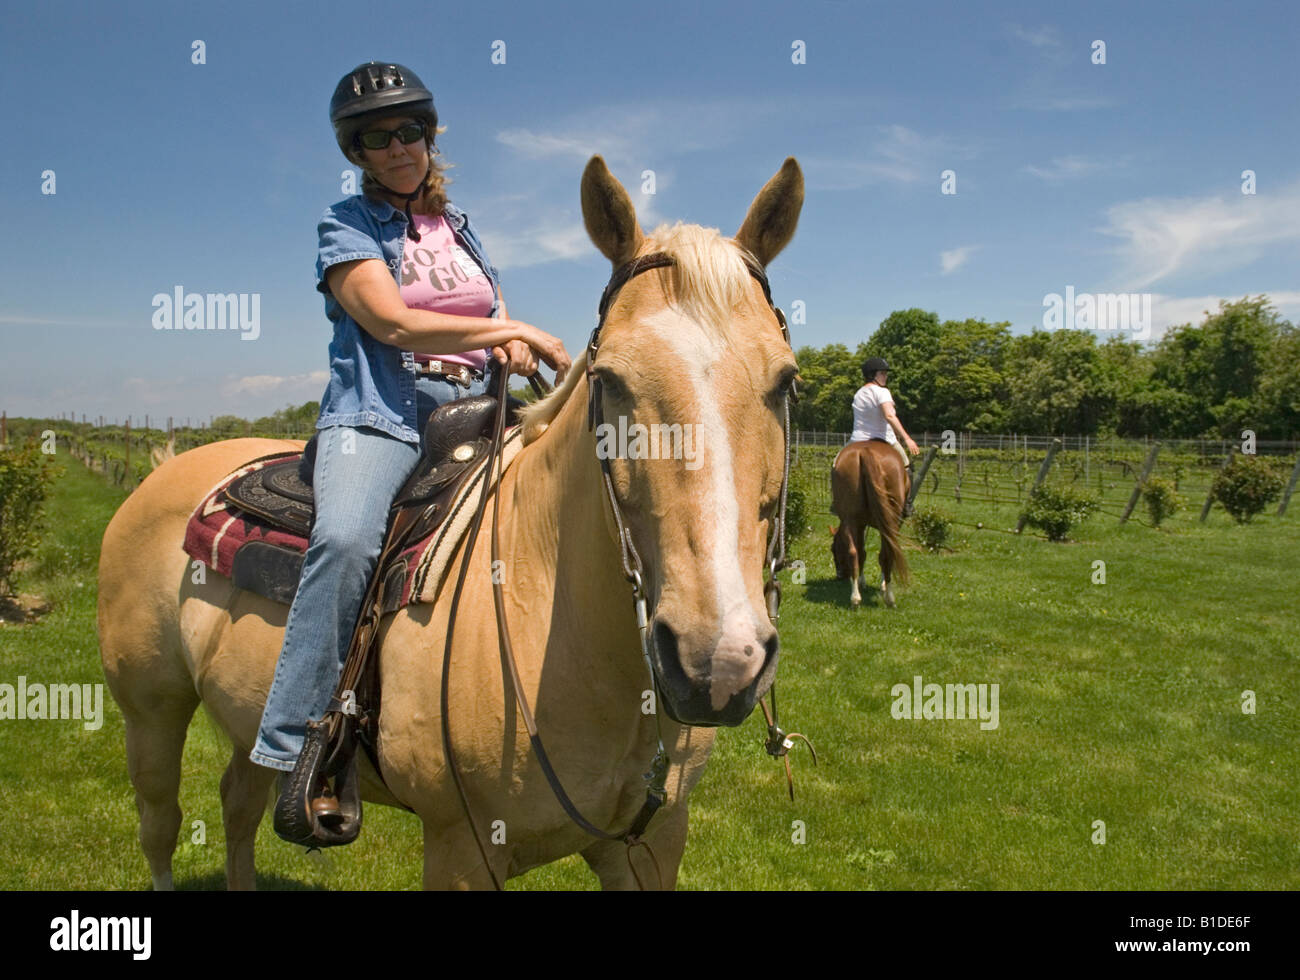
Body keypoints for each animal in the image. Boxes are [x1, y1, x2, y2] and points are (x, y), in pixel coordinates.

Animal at [96, 152, 800, 883]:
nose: (715, 661)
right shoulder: (462, 848)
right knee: (160, 826)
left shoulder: (652, 844)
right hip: (148, 710)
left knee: (237, 802)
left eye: (786, 380)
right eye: (609, 379)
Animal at [826, 441, 909, 603]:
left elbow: (862, 552)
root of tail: (865, 451)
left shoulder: (859, 524)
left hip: (850, 520)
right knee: (883, 553)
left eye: (833, 549)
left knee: (855, 552)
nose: (839, 575)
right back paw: (884, 596)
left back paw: (858, 596)